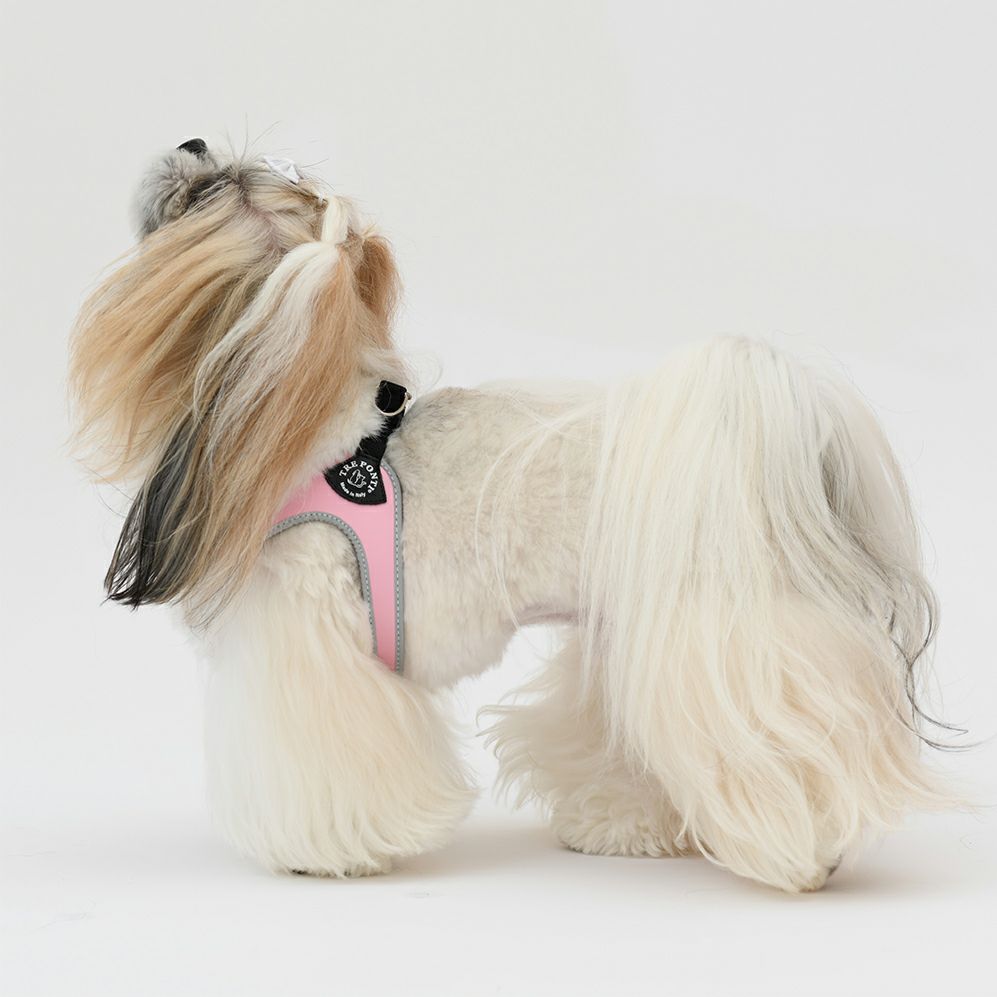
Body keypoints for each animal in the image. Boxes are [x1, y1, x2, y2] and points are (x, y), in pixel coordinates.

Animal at [70, 139, 951, 892]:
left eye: (207, 191)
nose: (188, 143)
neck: (316, 435)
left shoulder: (310, 636)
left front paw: (328, 853)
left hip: (723, 633)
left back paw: (803, 855)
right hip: (629, 627)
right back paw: (624, 824)